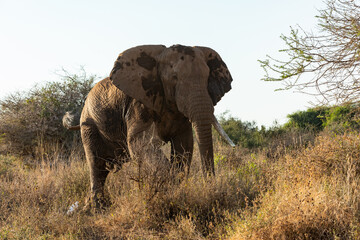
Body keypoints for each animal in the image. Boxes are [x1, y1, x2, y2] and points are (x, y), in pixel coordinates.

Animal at [63, 44, 235, 209]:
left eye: (207, 78)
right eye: (174, 78)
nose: (211, 188)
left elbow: (184, 145)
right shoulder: (138, 104)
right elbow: (140, 143)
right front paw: (171, 187)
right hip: (89, 125)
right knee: (97, 165)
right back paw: (97, 209)